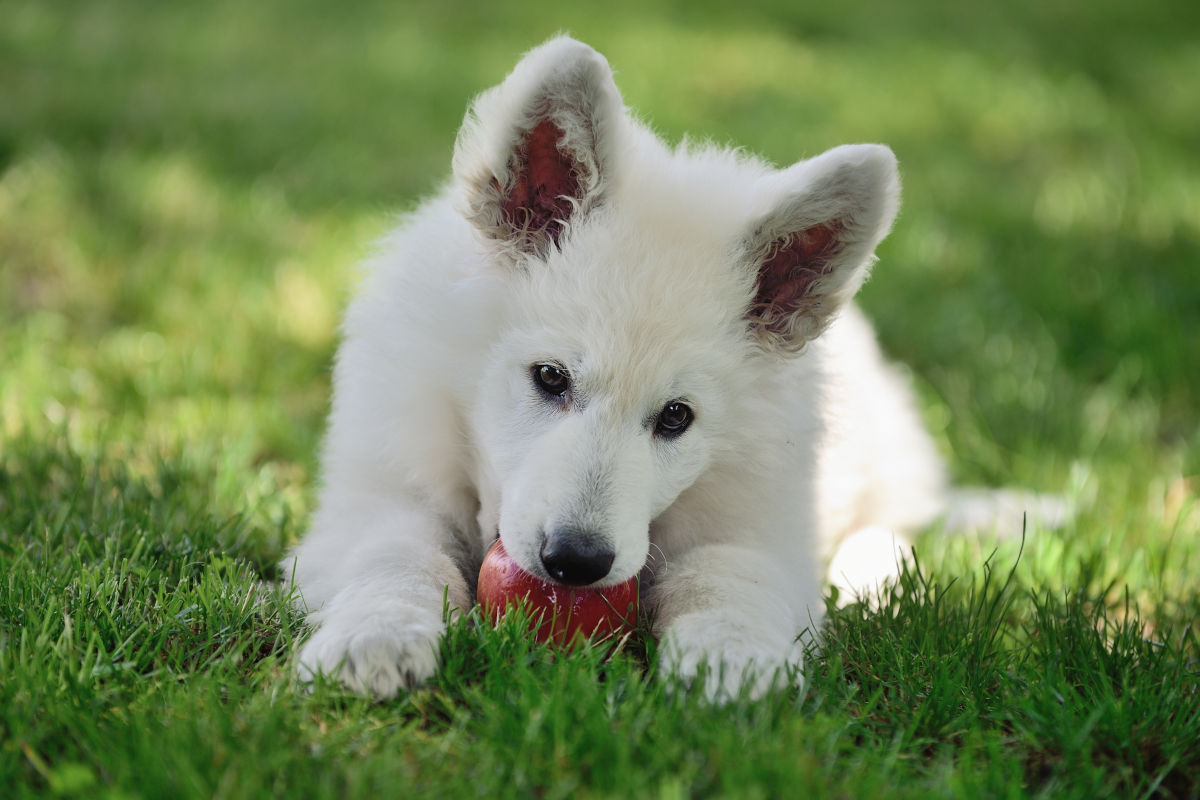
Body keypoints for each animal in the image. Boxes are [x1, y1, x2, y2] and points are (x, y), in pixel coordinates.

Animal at [285, 37, 1056, 700]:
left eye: (677, 417)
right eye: (550, 378)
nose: (576, 562)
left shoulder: (756, 523)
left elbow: (726, 577)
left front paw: (735, 661)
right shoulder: (377, 491)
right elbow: (394, 555)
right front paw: (375, 638)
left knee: (891, 529)